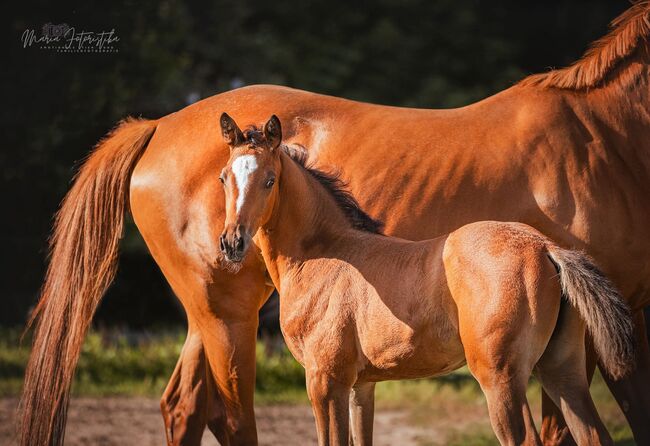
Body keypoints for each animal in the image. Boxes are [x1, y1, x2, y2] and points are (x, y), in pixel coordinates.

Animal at [218, 113, 632, 444]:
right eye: (224, 178)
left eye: (270, 180)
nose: (232, 243)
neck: (324, 256)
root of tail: (546, 248)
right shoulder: (360, 386)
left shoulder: (325, 381)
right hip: (562, 371)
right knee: (594, 435)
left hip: (499, 377)